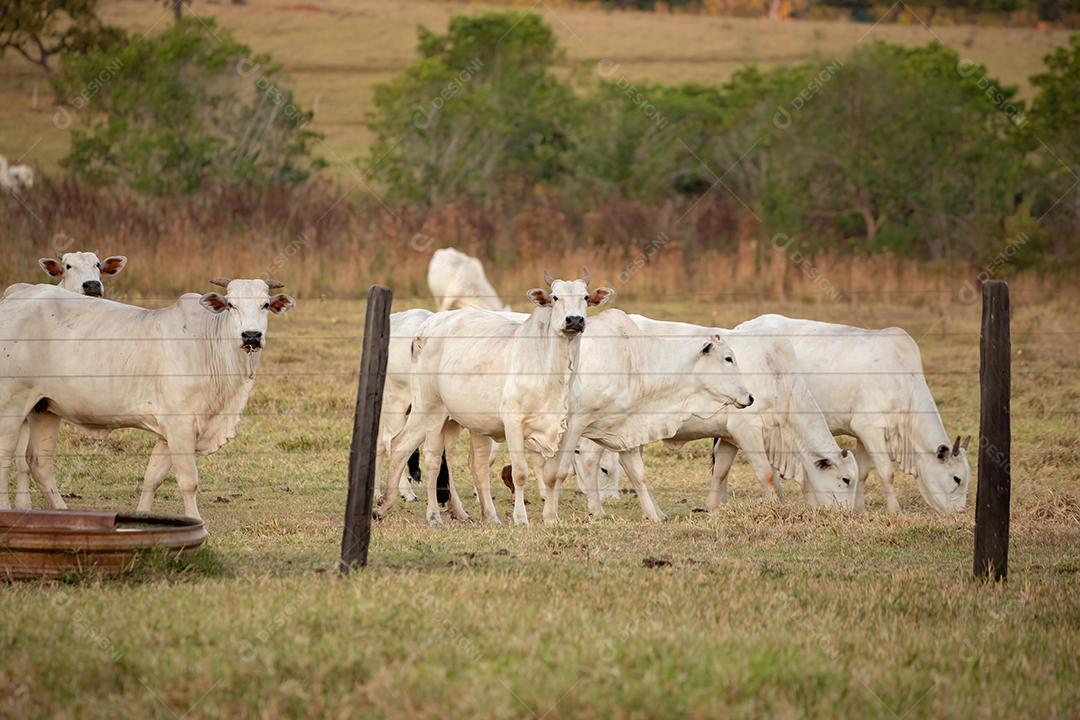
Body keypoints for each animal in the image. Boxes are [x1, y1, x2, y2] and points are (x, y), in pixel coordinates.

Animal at [0, 279, 295, 520]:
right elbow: (188, 480)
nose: (251, 335)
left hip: (44, 409)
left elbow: (152, 477)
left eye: (265, 304)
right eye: (231, 305)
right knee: (6, 457)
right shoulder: (180, 427)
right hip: (12, 406)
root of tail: (17, 294)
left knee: (40, 464)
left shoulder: (168, 434)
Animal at [375, 270, 613, 525]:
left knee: (469, 464)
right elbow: (520, 473)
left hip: (456, 421)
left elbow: (554, 474)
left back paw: (479, 514)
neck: (552, 371)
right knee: (409, 449)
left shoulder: (567, 428)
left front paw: (550, 517)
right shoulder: (513, 423)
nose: (575, 320)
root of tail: (426, 326)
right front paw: (521, 518)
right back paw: (413, 510)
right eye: (555, 297)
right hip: (426, 408)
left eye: (586, 297)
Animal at [734, 314, 971, 513]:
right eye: (957, 478)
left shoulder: (862, 434)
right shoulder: (869, 427)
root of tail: (744, 326)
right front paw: (895, 512)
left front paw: (859, 510)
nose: (959, 513)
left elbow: (864, 473)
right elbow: (887, 472)